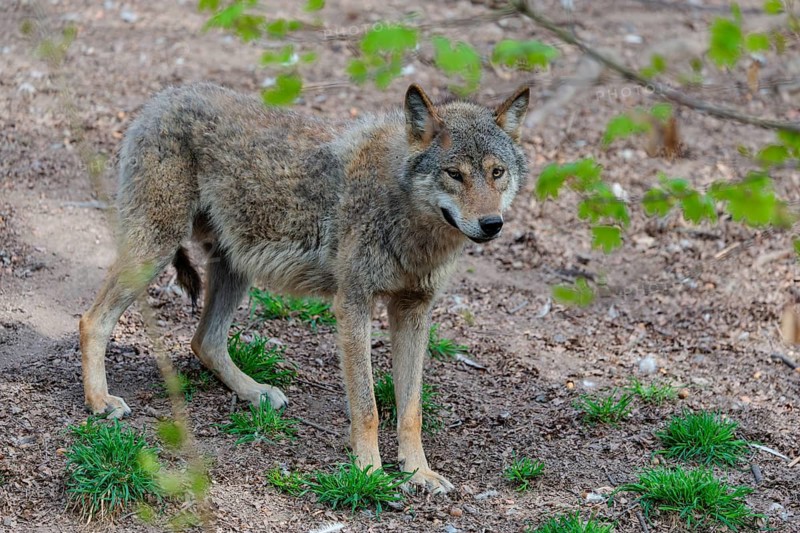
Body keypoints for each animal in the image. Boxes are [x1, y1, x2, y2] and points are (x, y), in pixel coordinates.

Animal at [79, 82, 529, 493]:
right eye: (455, 174)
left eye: (497, 173)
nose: (492, 224)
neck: (407, 217)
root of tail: (161, 97)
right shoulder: (353, 305)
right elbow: (367, 408)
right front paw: (370, 474)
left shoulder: (413, 312)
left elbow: (411, 410)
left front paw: (418, 472)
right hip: (155, 253)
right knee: (91, 321)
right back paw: (100, 402)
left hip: (234, 268)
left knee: (204, 341)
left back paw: (256, 393)